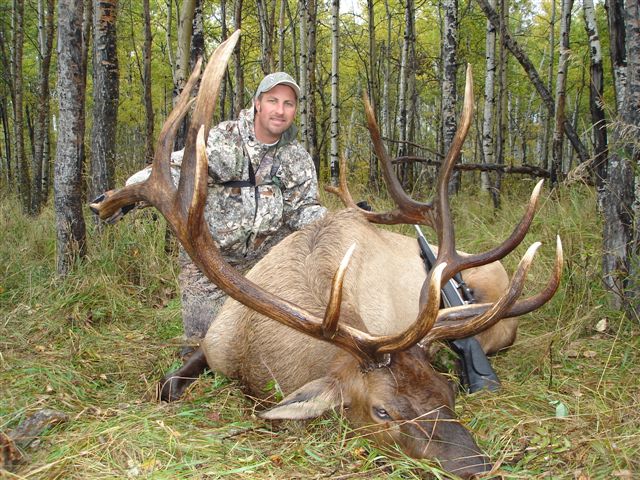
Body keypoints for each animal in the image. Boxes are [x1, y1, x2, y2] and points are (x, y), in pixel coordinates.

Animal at [92, 31, 562, 478]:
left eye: (447, 393)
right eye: (382, 411)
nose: (478, 467)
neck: (255, 357)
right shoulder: (212, 341)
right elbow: (167, 384)